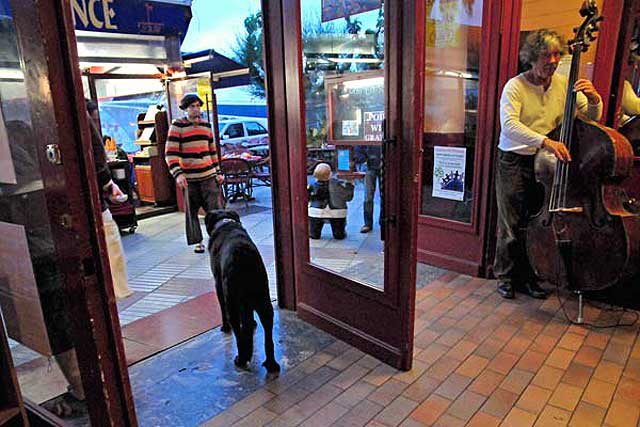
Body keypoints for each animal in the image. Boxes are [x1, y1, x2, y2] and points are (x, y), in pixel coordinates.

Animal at [205, 211, 280, 374]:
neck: (224, 222)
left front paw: (225, 327)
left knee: (239, 334)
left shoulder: (218, 285)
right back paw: (271, 364)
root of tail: (243, 256)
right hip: (263, 300)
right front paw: (252, 323)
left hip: (231, 300)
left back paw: (241, 359)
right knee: (268, 337)